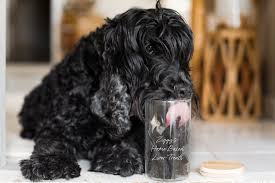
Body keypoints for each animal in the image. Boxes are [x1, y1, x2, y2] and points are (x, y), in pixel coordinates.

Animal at [18, 2, 195, 181]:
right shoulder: (58, 123)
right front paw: (51, 163)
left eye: (183, 58)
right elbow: (53, 140)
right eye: (150, 48)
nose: (185, 90)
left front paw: (121, 156)